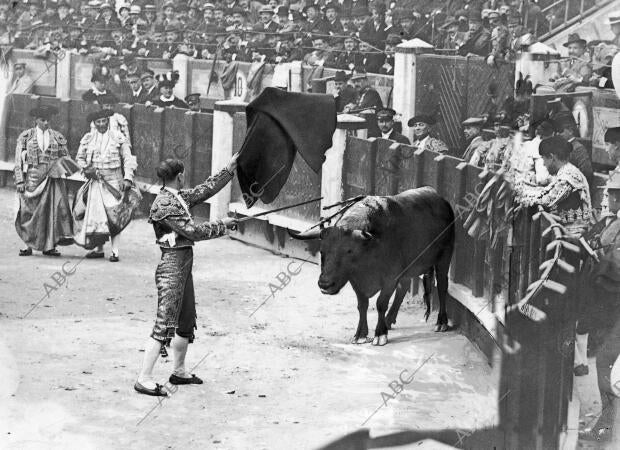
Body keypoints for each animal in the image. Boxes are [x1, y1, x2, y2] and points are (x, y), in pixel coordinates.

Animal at [290, 188, 456, 346]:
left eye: (349, 251)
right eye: (322, 250)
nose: (325, 284)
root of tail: (442, 201)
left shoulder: (390, 278)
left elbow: (381, 303)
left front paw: (380, 334)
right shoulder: (356, 280)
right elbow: (362, 305)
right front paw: (360, 334)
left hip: (444, 257)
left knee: (442, 285)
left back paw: (441, 322)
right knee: (404, 286)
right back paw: (389, 320)